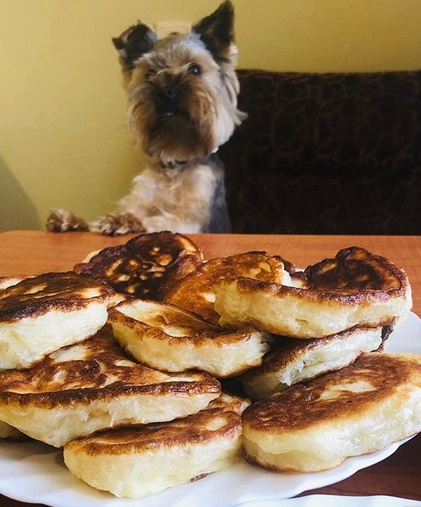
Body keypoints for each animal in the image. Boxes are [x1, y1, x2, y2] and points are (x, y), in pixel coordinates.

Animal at [46, 0, 244, 236]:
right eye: (149, 73)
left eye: (195, 69)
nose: (167, 90)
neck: (176, 161)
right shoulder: (140, 199)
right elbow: (114, 216)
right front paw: (73, 220)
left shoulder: (196, 213)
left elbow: (165, 220)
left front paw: (125, 222)